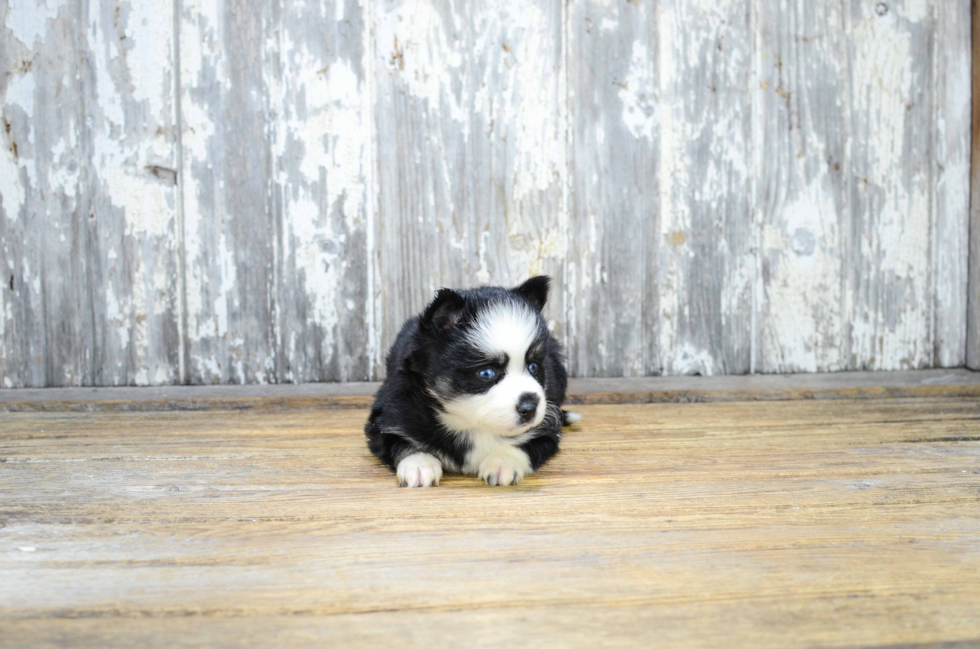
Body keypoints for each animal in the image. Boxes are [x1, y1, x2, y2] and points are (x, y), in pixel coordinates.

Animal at [368, 274, 580, 486]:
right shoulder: (388, 417)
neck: (469, 424)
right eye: (487, 373)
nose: (530, 408)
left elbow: (523, 445)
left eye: (533, 367)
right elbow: (401, 441)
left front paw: (503, 462)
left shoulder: (546, 430)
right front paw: (419, 464)